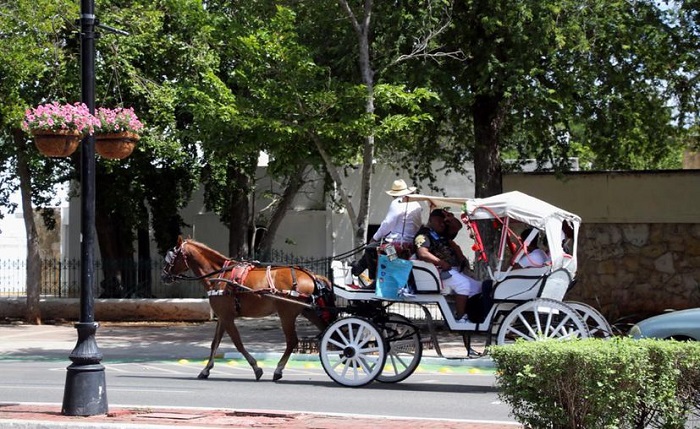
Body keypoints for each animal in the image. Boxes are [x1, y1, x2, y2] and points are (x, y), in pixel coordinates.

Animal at [160, 237, 334, 382]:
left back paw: (278, 370)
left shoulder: (227, 318)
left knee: (292, 341)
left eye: (170, 257)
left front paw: (256, 368)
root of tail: (313, 276)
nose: (163, 276)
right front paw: (206, 370)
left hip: (287, 314)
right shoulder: (222, 317)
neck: (220, 276)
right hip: (310, 311)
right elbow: (215, 343)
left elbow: (238, 343)